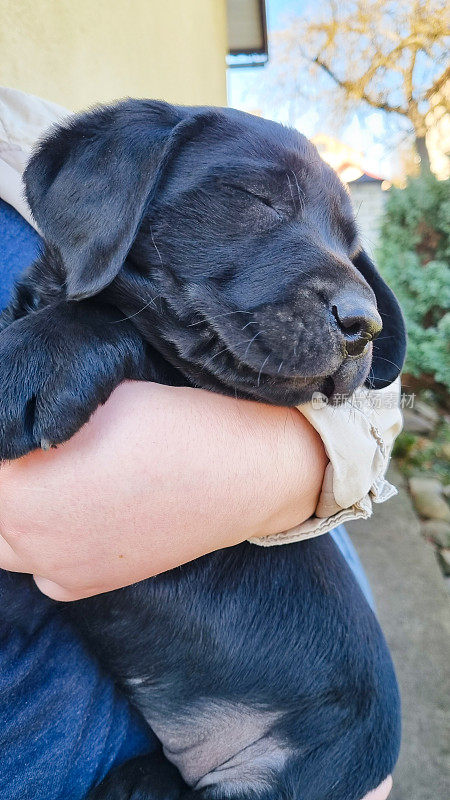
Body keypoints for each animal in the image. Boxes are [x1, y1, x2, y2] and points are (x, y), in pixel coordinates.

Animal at [0, 100, 406, 800]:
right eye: (256, 198)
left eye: (353, 247)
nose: (367, 324)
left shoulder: (181, 375)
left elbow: (127, 327)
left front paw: (32, 356)